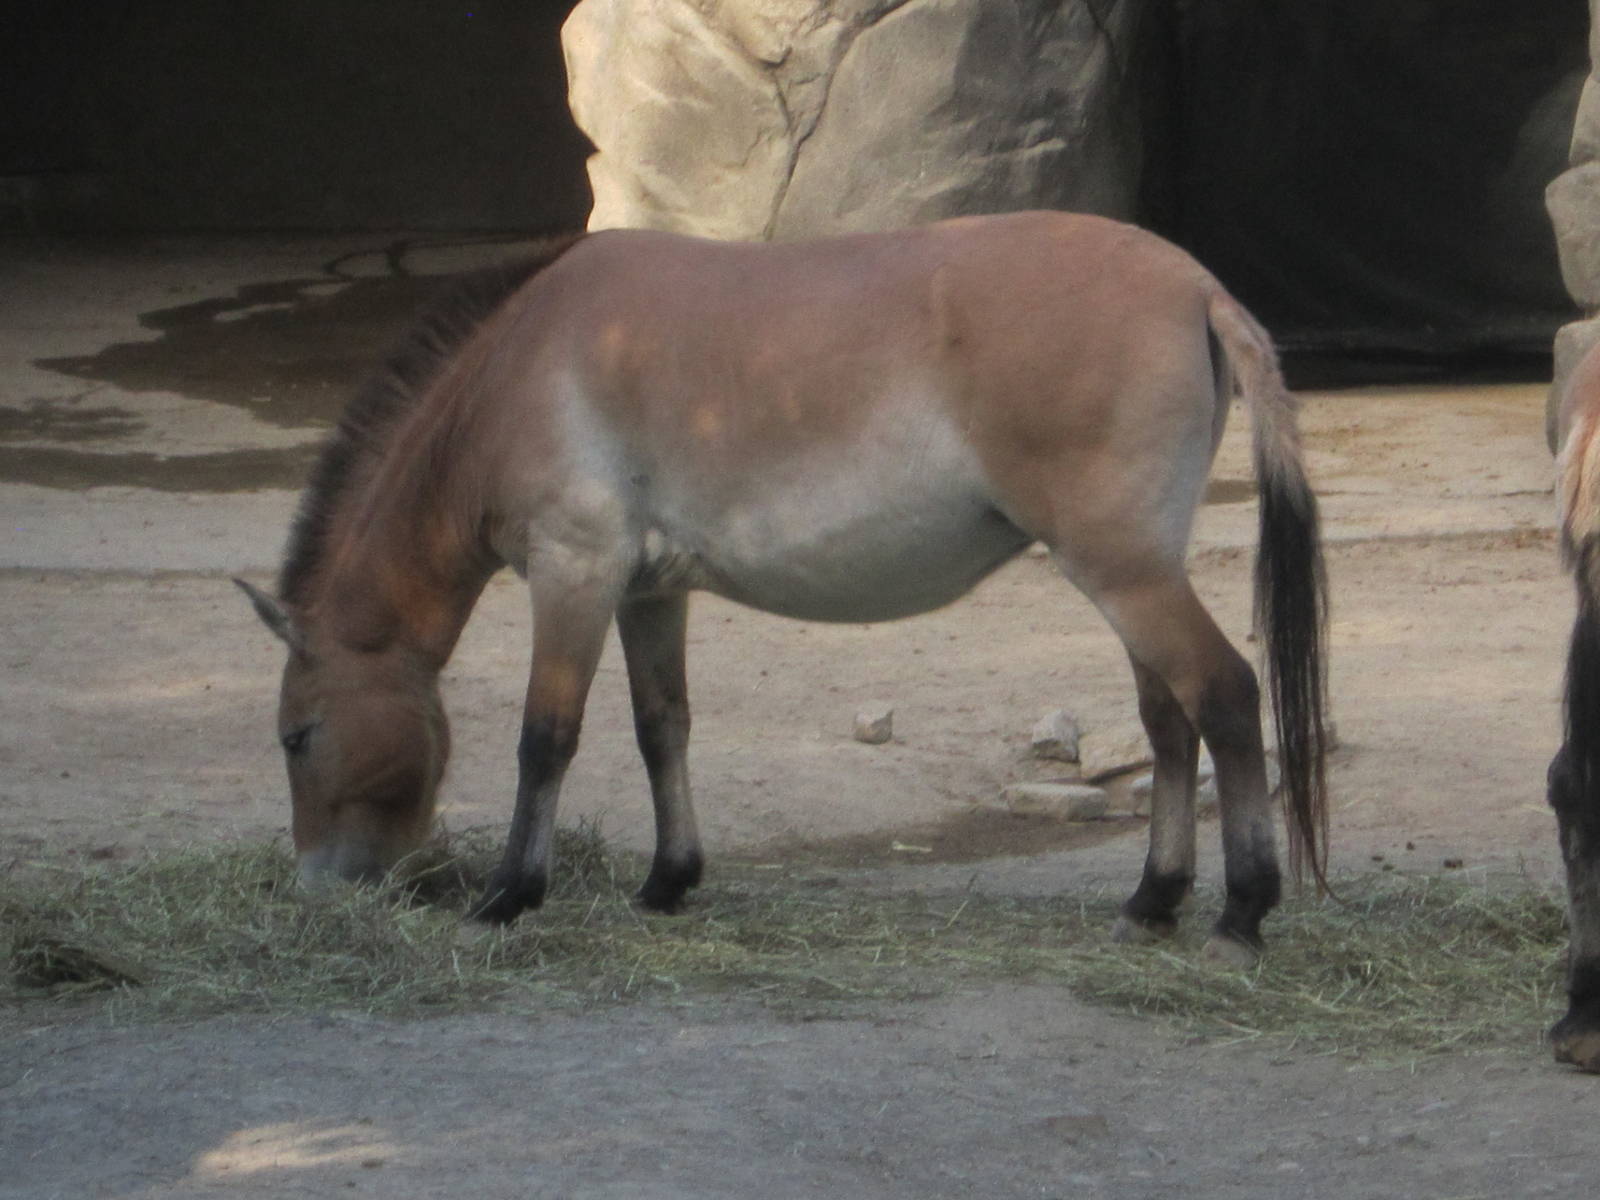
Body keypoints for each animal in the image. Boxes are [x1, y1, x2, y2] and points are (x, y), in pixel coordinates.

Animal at [238, 210, 1329, 964]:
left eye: (297, 737)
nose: (315, 885)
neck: (518, 367)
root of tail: (1195, 286)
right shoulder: (645, 594)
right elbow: (660, 728)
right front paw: (667, 882)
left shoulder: (574, 575)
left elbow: (545, 741)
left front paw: (508, 896)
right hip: (1132, 574)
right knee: (1168, 719)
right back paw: (1152, 900)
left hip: (1124, 573)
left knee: (1225, 697)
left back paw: (1239, 915)